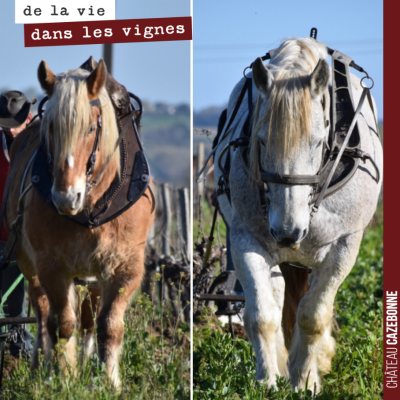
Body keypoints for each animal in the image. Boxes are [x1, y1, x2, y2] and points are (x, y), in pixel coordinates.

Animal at [3, 59, 154, 388]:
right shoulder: (51, 266)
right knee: (43, 315)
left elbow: (108, 325)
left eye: (91, 127)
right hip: (29, 264)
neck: (92, 209)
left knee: (88, 321)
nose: (65, 197)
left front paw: (109, 381)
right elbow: (61, 323)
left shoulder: (125, 267)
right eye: (49, 129)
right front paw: (63, 376)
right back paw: (40, 367)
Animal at [214, 39, 382, 392]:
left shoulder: (345, 246)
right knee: (277, 300)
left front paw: (305, 381)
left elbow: (313, 316)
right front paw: (266, 381)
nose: (288, 232)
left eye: (317, 142)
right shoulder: (246, 240)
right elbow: (261, 314)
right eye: (261, 141)